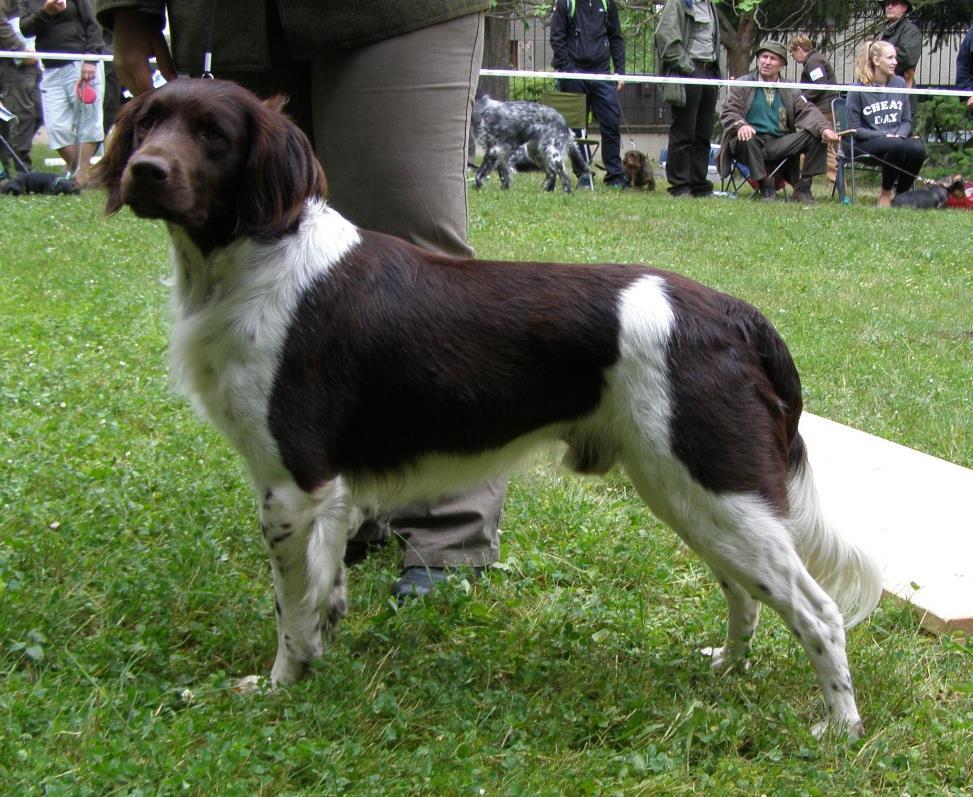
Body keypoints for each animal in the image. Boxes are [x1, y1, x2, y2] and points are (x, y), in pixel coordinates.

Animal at [93, 77, 880, 736]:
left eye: (215, 135)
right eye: (148, 123)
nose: (145, 171)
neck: (261, 255)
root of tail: (732, 313)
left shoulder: (291, 481)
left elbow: (290, 605)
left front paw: (278, 685)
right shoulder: (329, 490)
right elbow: (321, 591)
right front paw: (316, 661)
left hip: (713, 484)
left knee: (817, 611)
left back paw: (838, 728)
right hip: (689, 490)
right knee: (745, 591)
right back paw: (727, 665)